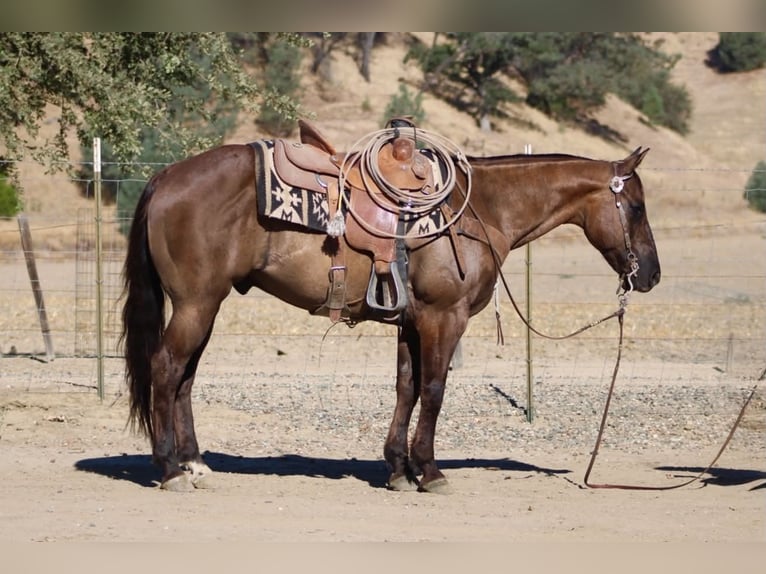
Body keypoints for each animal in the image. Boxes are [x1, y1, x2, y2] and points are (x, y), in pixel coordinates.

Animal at [121, 129, 660, 493]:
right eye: (635, 207)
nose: (651, 274)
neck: (481, 210)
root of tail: (166, 175)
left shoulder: (411, 321)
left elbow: (407, 389)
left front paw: (399, 468)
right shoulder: (444, 317)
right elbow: (434, 390)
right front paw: (430, 470)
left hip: (206, 306)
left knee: (185, 376)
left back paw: (194, 462)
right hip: (195, 304)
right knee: (166, 368)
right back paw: (168, 469)